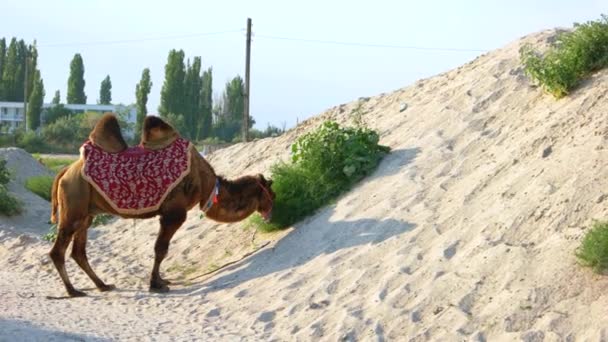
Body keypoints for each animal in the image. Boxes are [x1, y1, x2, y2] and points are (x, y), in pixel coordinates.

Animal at [50, 115, 276, 296]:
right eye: (271, 194)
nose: (272, 210)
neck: (205, 182)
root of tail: (65, 171)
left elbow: (161, 249)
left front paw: (160, 280)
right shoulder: (174, 213)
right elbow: (161, 249)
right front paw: (156, 284)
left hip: (86, 213)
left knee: (79, 252)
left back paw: (102, 285)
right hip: (74, 203)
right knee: (58, 251)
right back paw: (73, 291)